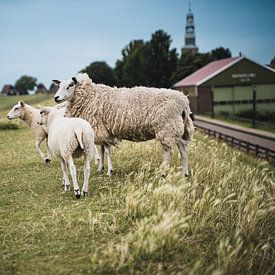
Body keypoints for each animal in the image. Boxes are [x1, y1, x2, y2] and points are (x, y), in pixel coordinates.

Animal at [54, 73, 195, 177]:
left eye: (70, 85)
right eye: (59, 86)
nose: (56, 97)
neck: (89, 95)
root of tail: (184, 101)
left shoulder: (102, 129)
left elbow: (107, 149)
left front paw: (109, 171)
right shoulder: (101, 129)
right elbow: (102, 149)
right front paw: (101, 168)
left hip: (167, 128)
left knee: (168, 151)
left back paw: (164, 173)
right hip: (177, 128)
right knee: (183, 150)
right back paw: (185, 174)